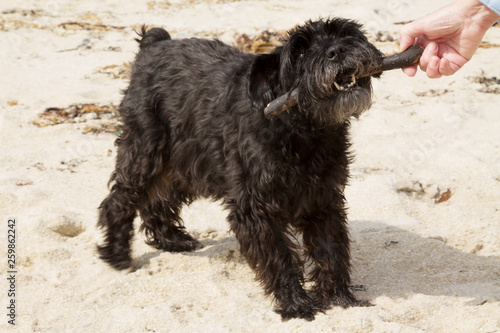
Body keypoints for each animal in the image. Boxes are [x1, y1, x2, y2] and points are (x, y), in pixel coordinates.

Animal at [99, 18, 384, 320]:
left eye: (344, 33)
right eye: (300, 52)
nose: (337, 51)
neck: (300, 129)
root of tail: (155, 44)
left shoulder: (322, 201)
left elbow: (331, 250)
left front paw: (339, 297)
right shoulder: (256, 209)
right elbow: (280, 257)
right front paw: (296, 303)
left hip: (186, 164)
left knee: (158, 199)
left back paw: (170, 239)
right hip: (147, 153)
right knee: (118, 200)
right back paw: (117, 253)